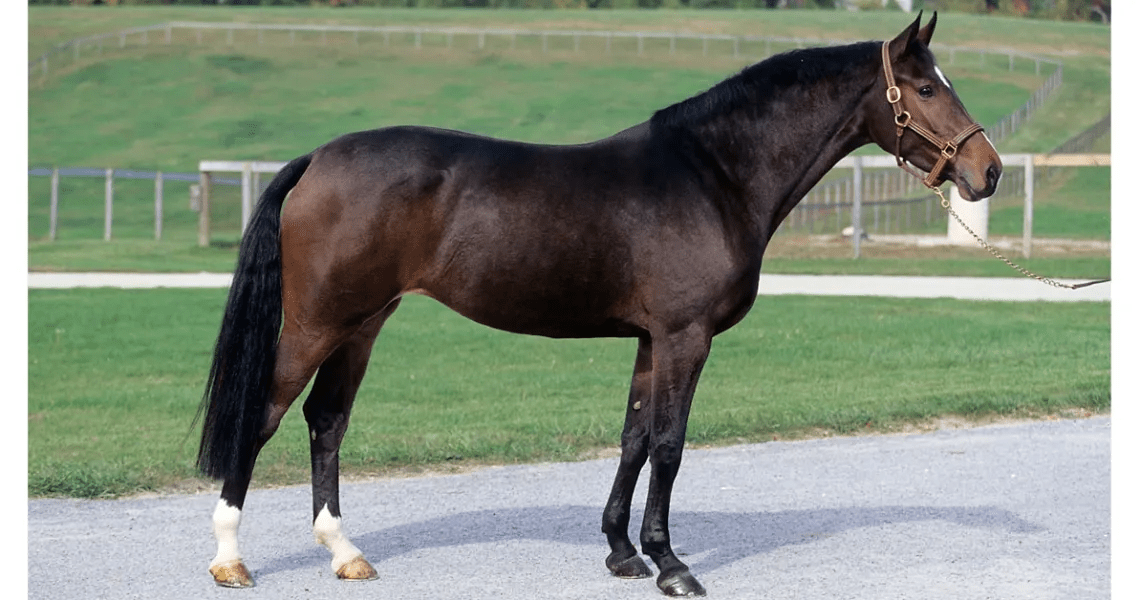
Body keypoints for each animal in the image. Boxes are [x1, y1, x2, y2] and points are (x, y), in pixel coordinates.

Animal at [196, 13, 1000, 597]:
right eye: (927, 90)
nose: (986, 170)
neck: (712, 175)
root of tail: (317, 160)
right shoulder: (685, 337)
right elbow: (670, 445)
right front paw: (671, 565)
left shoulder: (650, 339)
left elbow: (634, 438)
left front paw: (621, 552)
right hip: (317, 321)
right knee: (262, 415)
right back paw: (231, 558)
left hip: (363, 322)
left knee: (326, 422)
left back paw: (345, 553)